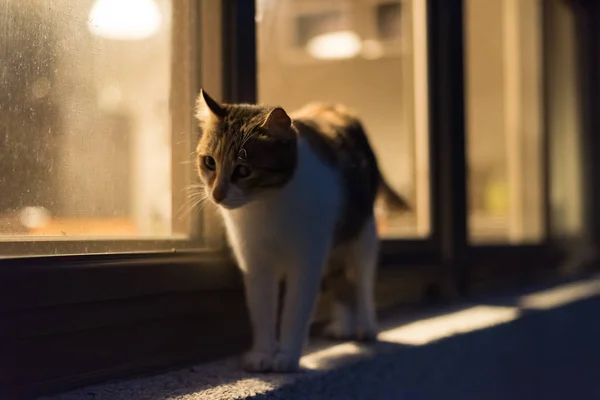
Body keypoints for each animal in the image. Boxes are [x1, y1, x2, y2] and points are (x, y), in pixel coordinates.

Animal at [195, 89, 410, 374]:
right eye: (209, 162)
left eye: (243, 170)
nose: (217, 195)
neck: (265, 206)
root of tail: (335, 106)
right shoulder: (255, 261)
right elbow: (261, 309)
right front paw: (263, 353)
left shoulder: (306, 260)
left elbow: (295, 310)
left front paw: (286, 356)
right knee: (341, 282)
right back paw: (344, 327)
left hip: (360, 230)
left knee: (362, 279)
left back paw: (365, 327)